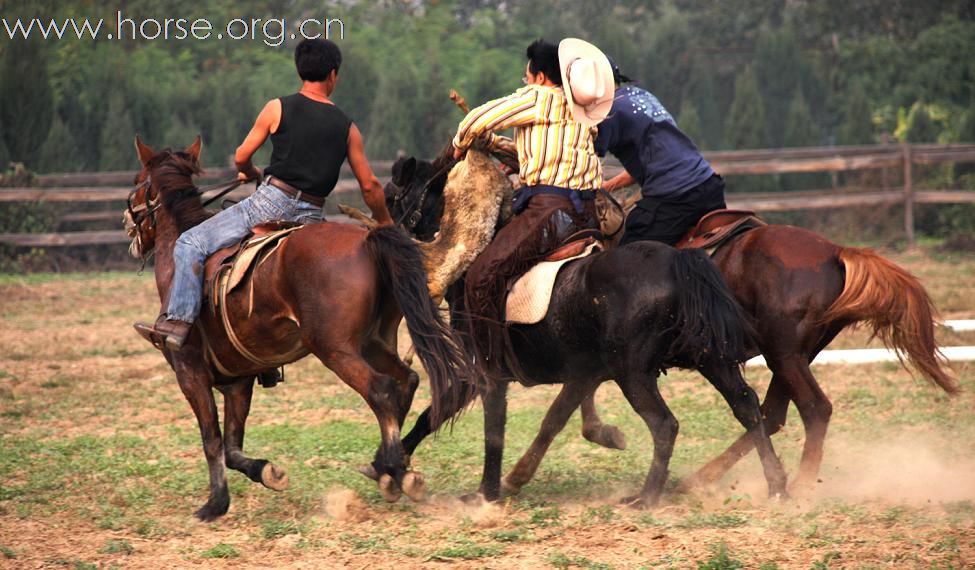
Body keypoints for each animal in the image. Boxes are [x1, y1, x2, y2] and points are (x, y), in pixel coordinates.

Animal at [126, 138, 472, 520]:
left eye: (138, 182)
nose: (131, 230)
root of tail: (368, 241)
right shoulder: (238, 380)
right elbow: (232, 446)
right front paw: (268, 472)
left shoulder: (189, 372)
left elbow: (212, 439)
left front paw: (215, 504)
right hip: (374, 343)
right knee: (405, 382)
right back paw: (387, 469)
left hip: (335, 348)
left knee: (380, 390)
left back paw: (396, 471)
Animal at [370, 154, 788, 502]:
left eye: (390, 195)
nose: (380, 239)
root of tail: (678, 262)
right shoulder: (570, 372)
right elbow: (445, 416)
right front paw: (387, 466)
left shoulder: (488, 372)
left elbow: (491, 426)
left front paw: (484, 492)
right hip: (711, 359)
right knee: (748, 408)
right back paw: (777, 486)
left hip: (634, 373)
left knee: (665, 424)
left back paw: (646, 497)